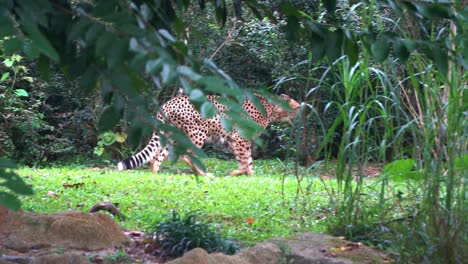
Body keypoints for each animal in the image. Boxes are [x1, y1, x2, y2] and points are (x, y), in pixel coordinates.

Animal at [117, 94, 300, 176]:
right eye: (297, 107)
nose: (301, 110)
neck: (271, 109)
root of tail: (169, 102)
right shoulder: (240, 138)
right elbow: (246, 158)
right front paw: (244, 174)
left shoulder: (235, 140)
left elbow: (246, 159)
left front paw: (246, 174)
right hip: (198, 132)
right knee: (187, 155)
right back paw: (204, 174)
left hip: (172, 133)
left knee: (157, 155)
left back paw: (154, 174)